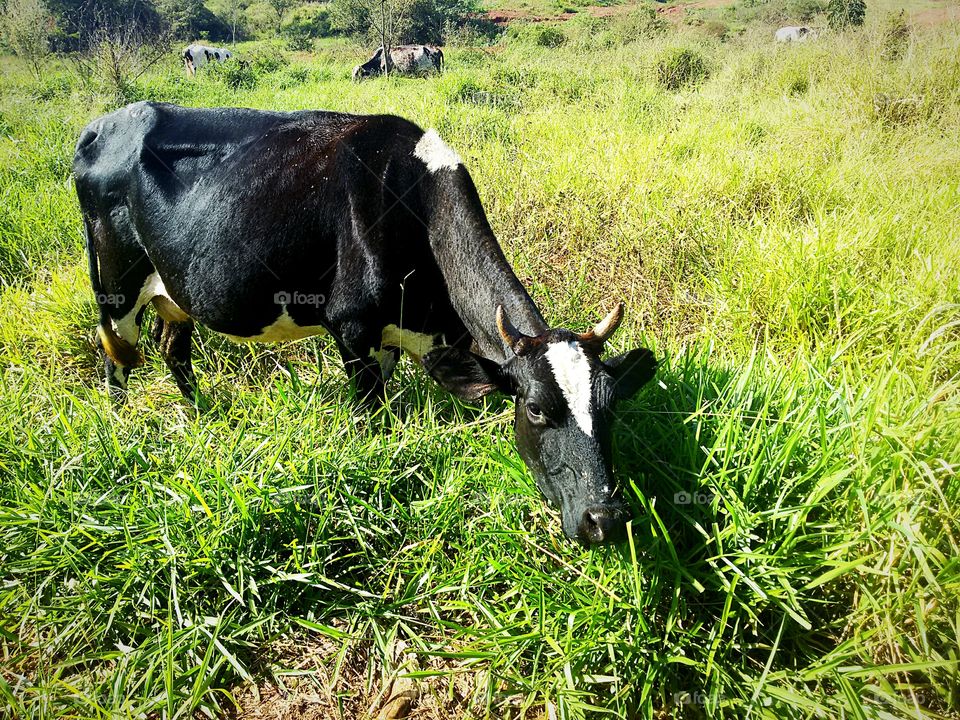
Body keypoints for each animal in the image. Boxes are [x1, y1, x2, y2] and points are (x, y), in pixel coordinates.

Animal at [73, 102, 657, 545]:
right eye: (535, 410)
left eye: (610, 405)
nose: (606, 520)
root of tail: (103, 121)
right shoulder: (353, 328)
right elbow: (369, 420)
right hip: (114, 285)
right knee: (116, 362)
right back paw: (122, 431)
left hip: (176, 292)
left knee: (174, 350)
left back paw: (204, 418)